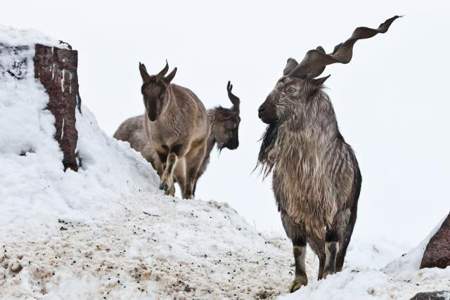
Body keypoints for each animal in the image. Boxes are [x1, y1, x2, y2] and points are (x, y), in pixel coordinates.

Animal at [256, 15, 400, 290]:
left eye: (291, 90)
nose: (261, 111)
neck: (310, 169)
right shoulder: (291, 215)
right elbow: (298, 249)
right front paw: (298, 284)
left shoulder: (339, 213)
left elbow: (333, 248)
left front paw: (327, 278)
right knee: (319, 253)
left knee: (334, 253)